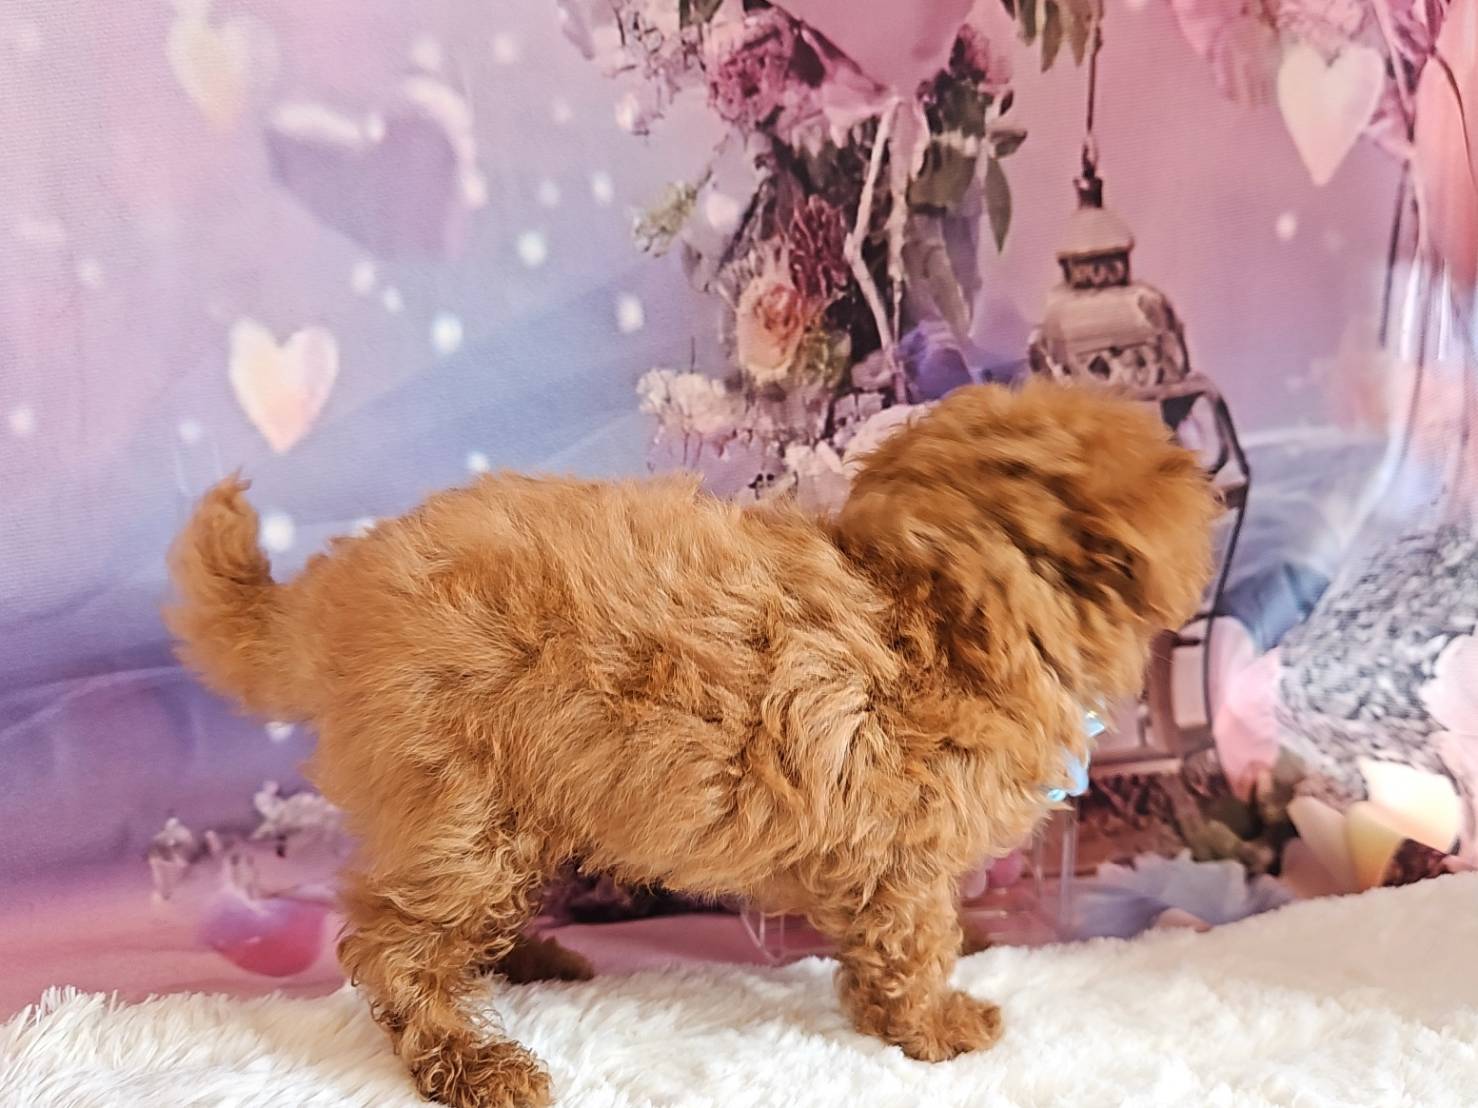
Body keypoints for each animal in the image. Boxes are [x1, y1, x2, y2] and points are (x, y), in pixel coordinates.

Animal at [167, 379, 1217, 1108]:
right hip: (465, 805)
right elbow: (915, 943)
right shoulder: (902, 856)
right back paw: (474, 1061)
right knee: (394, 944)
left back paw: (527, 964)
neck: (953, 606)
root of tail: (330, 594)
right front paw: (938, 1025)